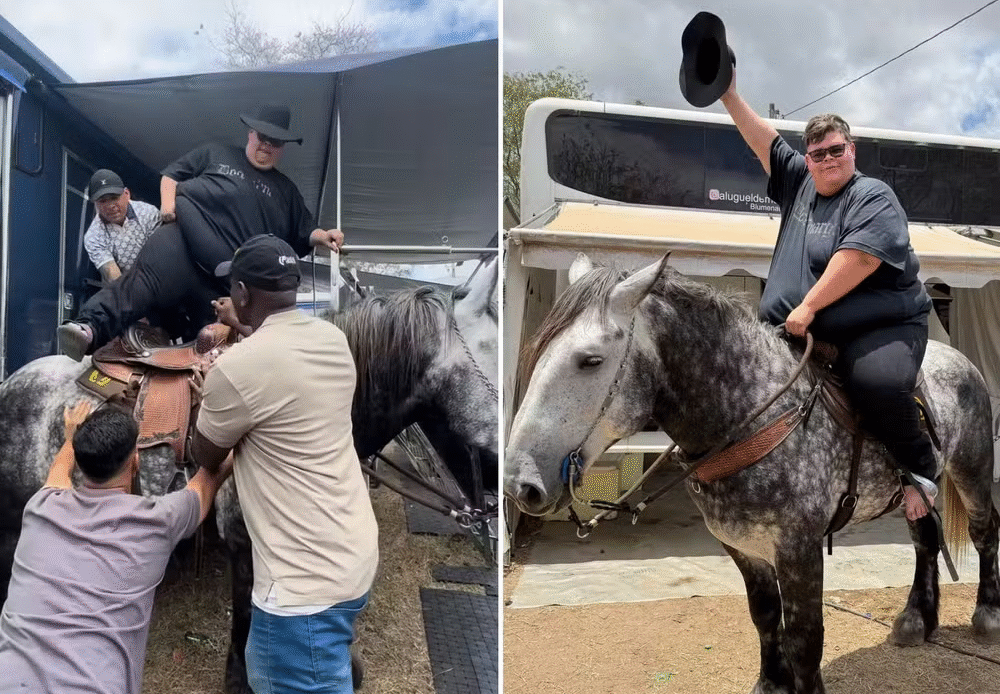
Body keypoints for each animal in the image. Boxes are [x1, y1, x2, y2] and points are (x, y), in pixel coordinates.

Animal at [504, 254, 1000, 694]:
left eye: (590, 360)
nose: (518, 484)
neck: (753, 416)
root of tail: (957, 358)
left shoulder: (800, 549)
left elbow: (805, 638)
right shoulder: (742, 546)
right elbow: (763, 616)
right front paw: (771, 682)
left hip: (972, 469)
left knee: (983, 531)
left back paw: (987, 614)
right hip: (916, 492)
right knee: (925, 539)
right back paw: (917, 619)